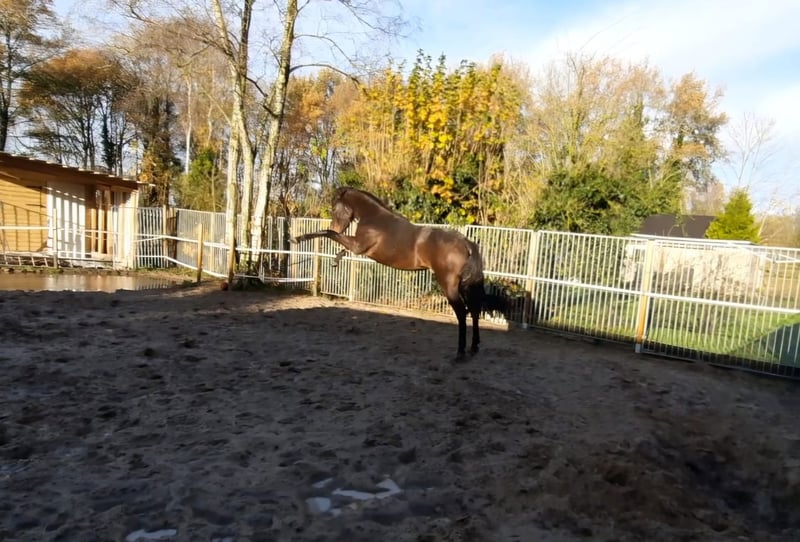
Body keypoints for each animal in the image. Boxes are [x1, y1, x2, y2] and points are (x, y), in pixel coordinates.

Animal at [290, 187, 506, 359]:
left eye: (335, 208)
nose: (335, 223)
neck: (376, 219)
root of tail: (465, 242)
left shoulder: (358, 246)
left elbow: (329, 233)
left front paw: (297, 239)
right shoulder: (356, 247)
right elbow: (338, 243)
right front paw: (336, 259)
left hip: (449, 285)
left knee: (462, 313)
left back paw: (460, 352)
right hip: (466, 285)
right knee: (475, 310)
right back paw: (473, 347)